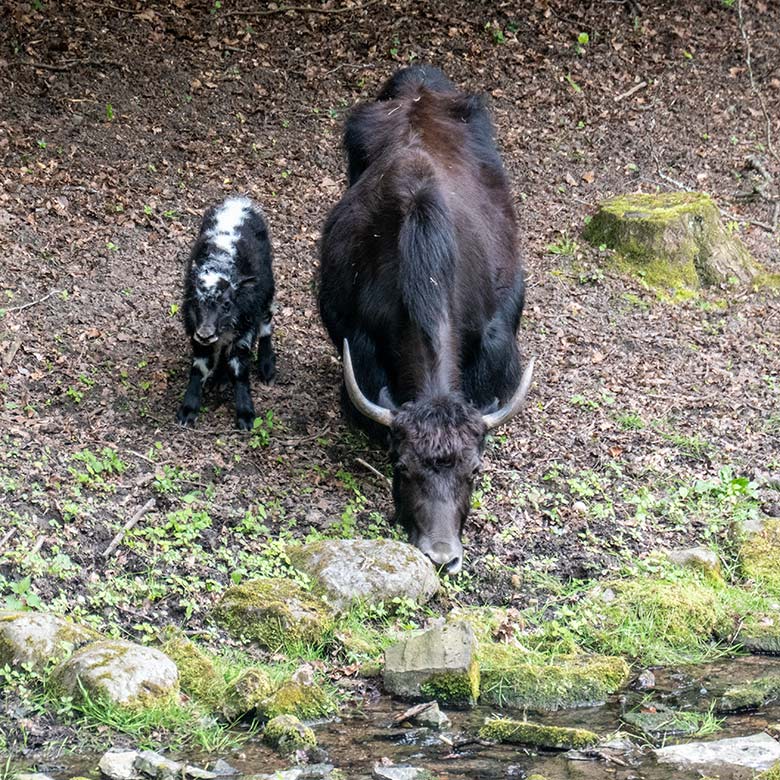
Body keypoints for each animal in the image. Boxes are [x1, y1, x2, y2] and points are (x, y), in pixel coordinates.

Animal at [178, 193, 276, 426]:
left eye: (227, 304)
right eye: (195, 301)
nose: (206, 333)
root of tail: (239, 201)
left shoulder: (244, 329)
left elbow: (239, 369)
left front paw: (246, 415)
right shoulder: (195, 329)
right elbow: (200, 367)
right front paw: (188, 410)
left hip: (268, 290)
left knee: (266, 322)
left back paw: (267, 367)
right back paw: (220, 378)